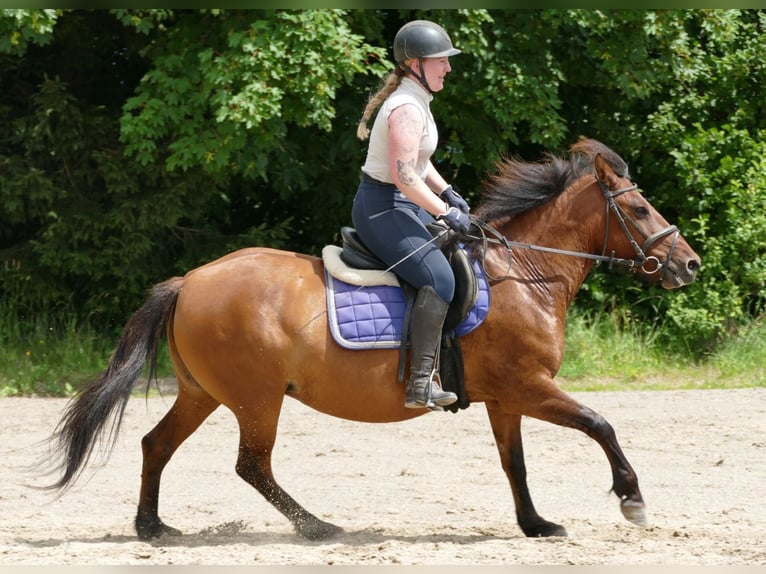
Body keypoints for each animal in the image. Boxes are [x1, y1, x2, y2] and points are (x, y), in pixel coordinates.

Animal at [40, 138, 700, 541]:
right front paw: (632, 499)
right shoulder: (528, 386)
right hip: (256, 399)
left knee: (156, 444)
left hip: (204, 392)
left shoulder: (506, 397)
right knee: (252, 465)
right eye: (640, 210)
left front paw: (536, 524)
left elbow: (514, 462)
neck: (527, 272)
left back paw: (152, 527)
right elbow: (600, 424)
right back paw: (319, 528)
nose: (689, 265)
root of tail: (190, 280)